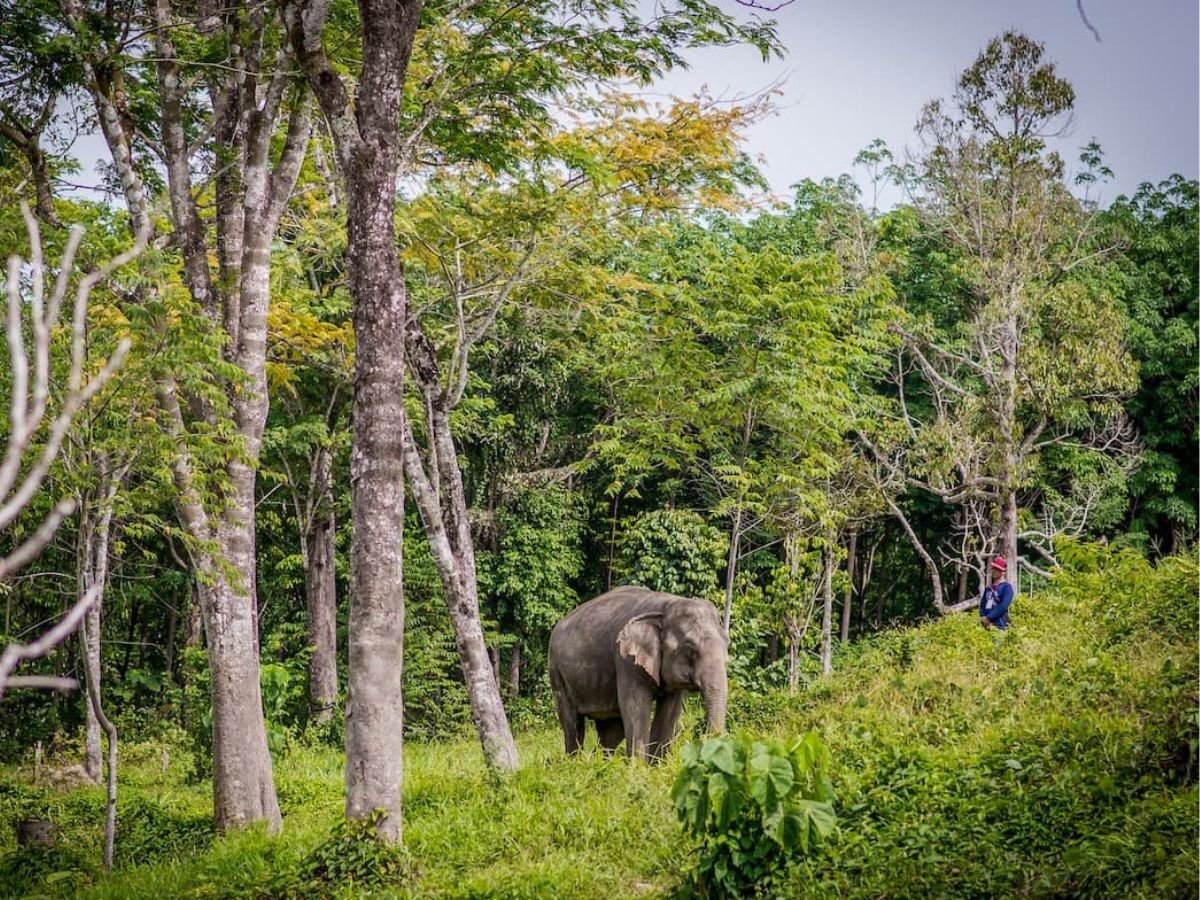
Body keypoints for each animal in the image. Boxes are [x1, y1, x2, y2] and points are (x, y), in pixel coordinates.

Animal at [547, 586, 728, 762]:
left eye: (727, 645)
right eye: (690, 649)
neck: (665, 607)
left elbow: (669, 712)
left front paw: (656, 767)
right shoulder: (626, 660)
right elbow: (635, 708)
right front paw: (639, 768)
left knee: (611, 731)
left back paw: (599, 763)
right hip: (557, 672)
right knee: (572, 724)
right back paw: (575, 764)